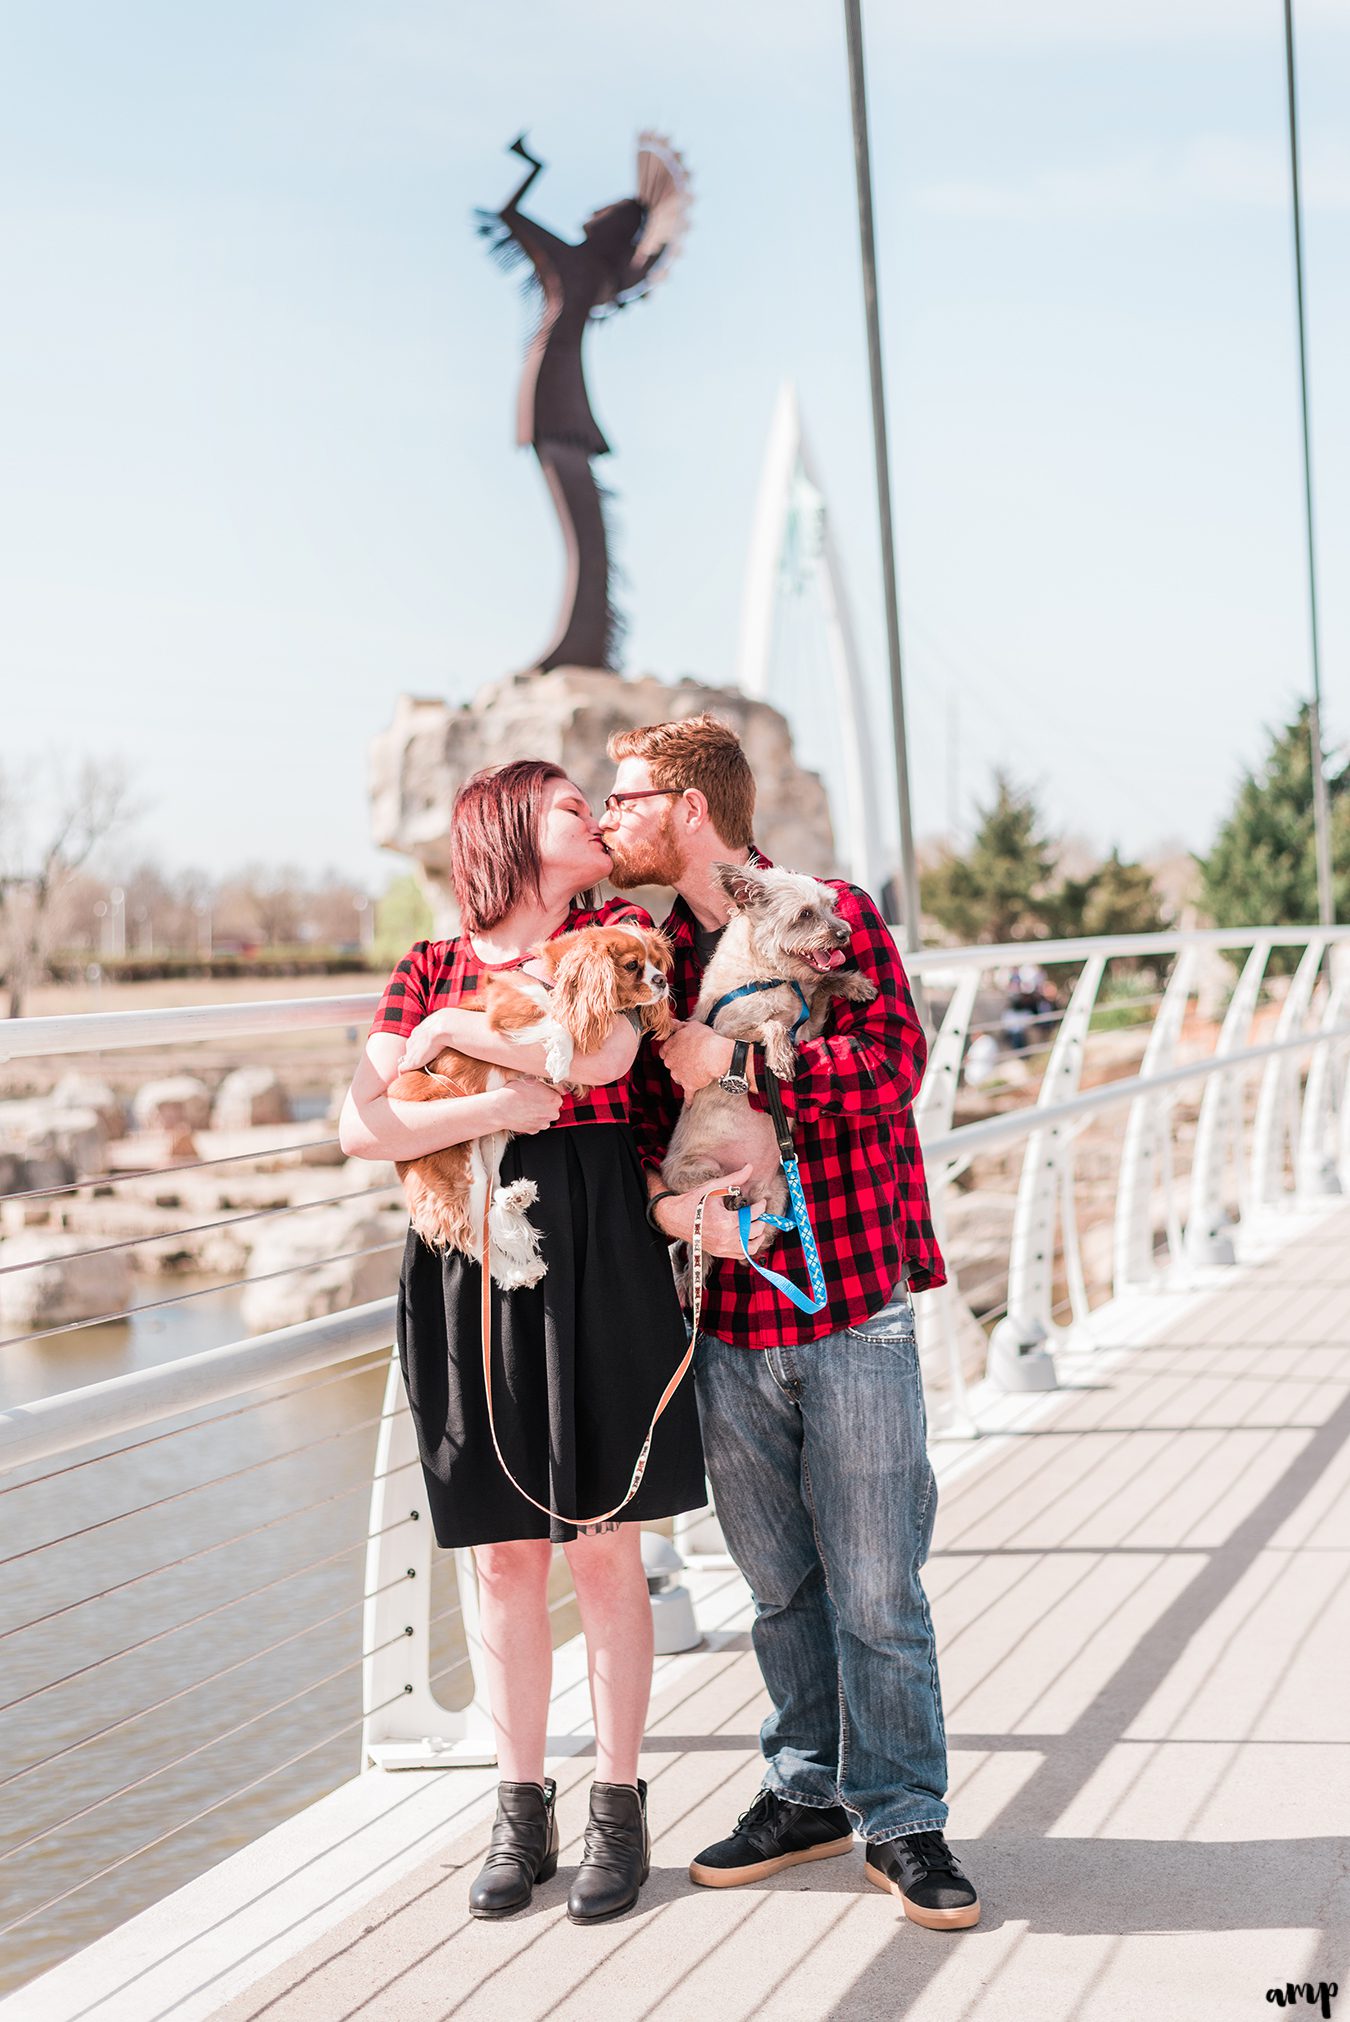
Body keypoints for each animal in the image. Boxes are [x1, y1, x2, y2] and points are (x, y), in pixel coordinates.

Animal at [388, 926, 670, 1285]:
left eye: (658, 962)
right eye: (633, 965)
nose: (662, 980)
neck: (553, 980)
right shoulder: (509, 1010)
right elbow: (556, 1021)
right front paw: (560, 1058)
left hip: (491, 1142)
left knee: (490, 1202)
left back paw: (513, 1198)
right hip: (459, 1169)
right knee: (473, 1236)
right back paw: (515, 1273)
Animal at [662, 861, 877, 1221]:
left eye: (831, 906)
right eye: (805, 914)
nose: (844, 933)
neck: (768, 975)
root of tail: (753, 1189)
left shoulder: (807, 1029)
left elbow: (821, 987)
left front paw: (853, 984)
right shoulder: (725, 1029)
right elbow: (772, 1024)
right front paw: (780, 1058)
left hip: (778, 1193)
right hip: (703, 1171)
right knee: (712, 1191)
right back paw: (731, 1200)